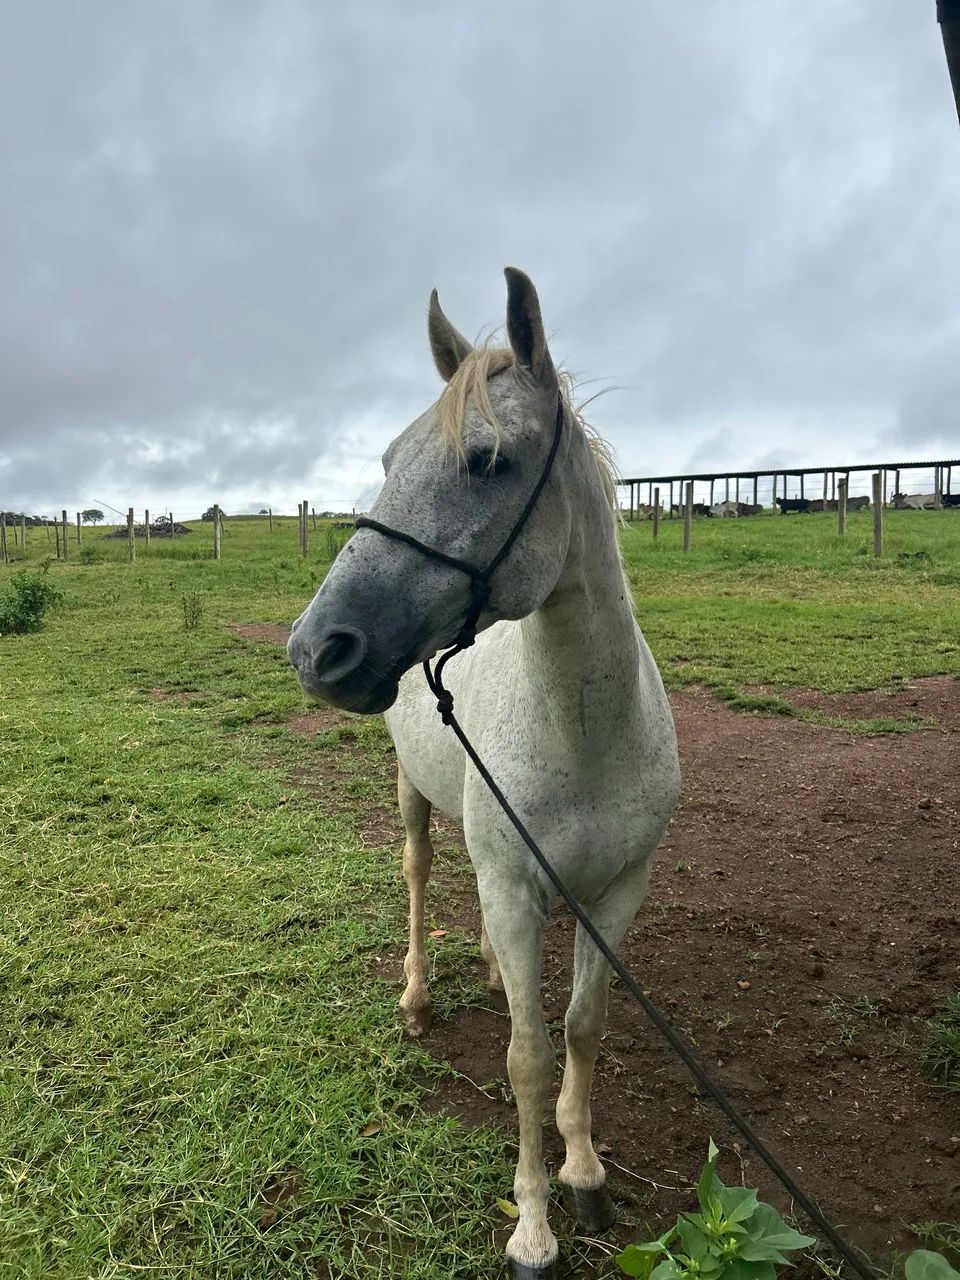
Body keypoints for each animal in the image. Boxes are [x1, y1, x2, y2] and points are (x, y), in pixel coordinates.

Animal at [288, 268, 681, 1278]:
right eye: (389, 459)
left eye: (487, 461)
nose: (316, 647)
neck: (587, 733)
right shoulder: (513, 885)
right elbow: (526, 1061)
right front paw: (533, 1226)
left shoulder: (616, 892)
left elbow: (580, 1028)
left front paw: (584, 1173)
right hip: (415, 799)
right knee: (424, 876)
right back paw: (418, 998)